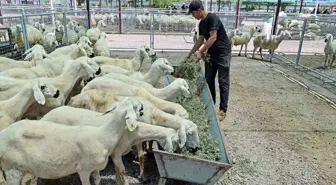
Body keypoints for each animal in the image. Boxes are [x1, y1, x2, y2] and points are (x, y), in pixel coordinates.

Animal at [0, 97, 144, 185]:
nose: (143, 108)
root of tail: (3, 135)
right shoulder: (84, 169)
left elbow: (97, 181)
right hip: (12, 169)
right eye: (135, 106)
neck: (102, 136)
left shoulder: (96, 169)